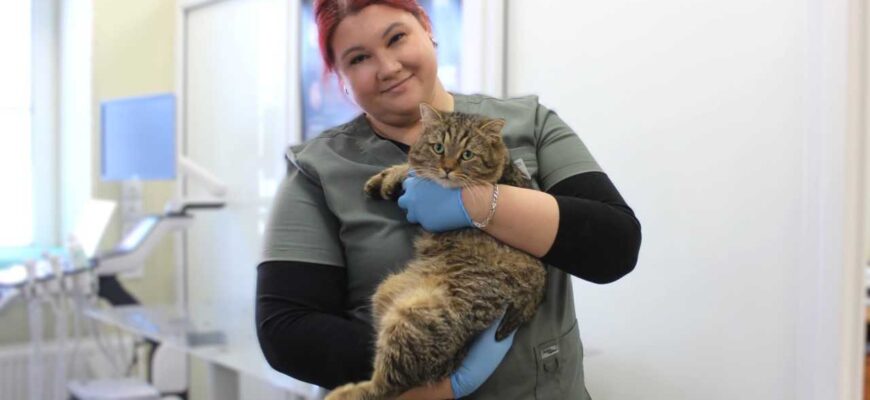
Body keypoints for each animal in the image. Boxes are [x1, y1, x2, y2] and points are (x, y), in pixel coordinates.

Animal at [325, 104, 547, 400]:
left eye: (467, 154)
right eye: (439, 148)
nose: (447, 169)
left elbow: (414, 169)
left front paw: (393, 177)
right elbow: (413, 166)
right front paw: (389, 178)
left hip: (412, 320)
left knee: (388, 386)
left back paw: (344, 393)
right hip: (387, 292)